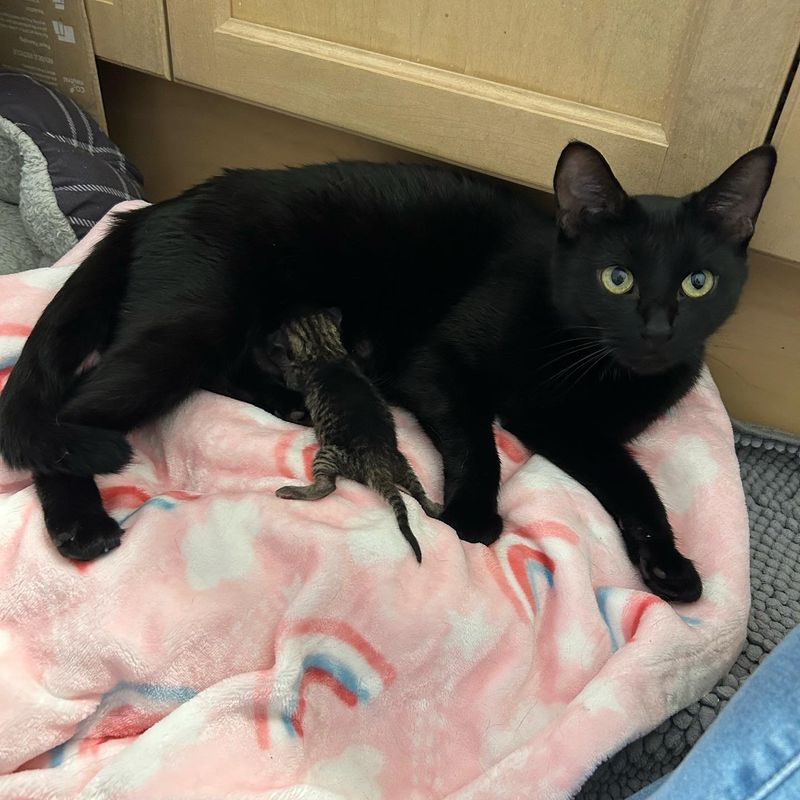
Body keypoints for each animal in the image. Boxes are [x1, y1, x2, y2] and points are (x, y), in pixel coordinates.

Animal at [0, 142, 776, 600]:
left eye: (699, 283)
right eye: (617, 278)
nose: (657, 329)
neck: (598, 366)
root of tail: (148, 212)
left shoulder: (569, 430)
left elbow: (635, 485)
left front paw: (667, 563)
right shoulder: (439, 364)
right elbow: (479, 440)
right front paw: (472, 515)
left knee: (215, 373)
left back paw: (283, 402)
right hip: (187, 326)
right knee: (67, 418)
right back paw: (80, 525)